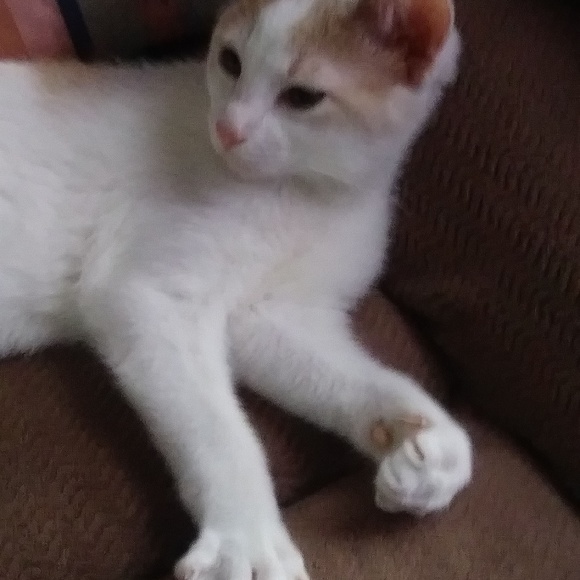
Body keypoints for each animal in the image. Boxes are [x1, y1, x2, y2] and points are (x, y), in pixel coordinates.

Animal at [0, 0, 471, 578]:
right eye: (230, 61)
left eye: (302, 97)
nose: (227, 129)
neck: (310, 192)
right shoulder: (154, 297)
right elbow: (218, 430)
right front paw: (245, 538)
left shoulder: (272, 314)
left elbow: (345, 376)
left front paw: (424, 440)